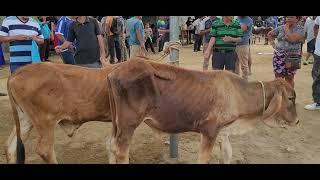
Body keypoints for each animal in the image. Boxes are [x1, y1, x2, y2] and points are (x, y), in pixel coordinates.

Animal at [106, 59, 298, 164]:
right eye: (290, 98)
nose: (297, 121)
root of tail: (114, 71)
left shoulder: (223, 131)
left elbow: (227, 154)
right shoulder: (210, 130)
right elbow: (204, 158)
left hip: (117, 125)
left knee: (111, 146)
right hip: (129, 124)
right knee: (121, 151)